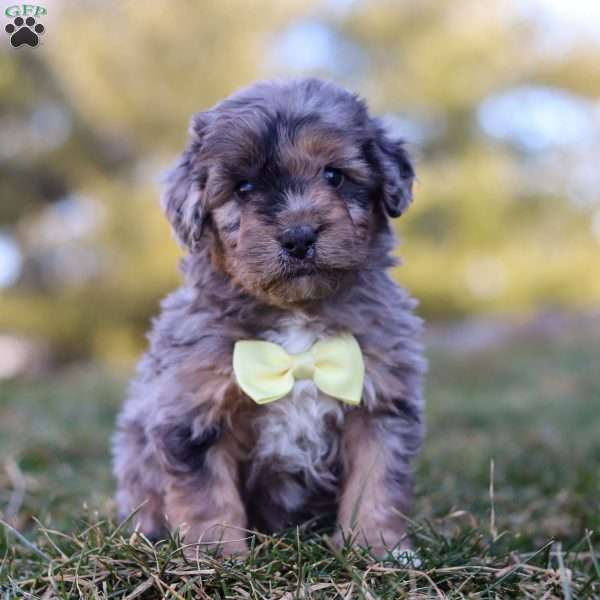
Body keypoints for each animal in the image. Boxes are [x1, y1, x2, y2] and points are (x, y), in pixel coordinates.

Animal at [112, 77, 426, 556]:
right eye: (243, 187)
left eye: (334, 175)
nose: (299, 236)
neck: (296, 318)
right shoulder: (195, 412)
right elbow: (208, 497)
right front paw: (218, 557)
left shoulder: (380, 401)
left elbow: (376, 481)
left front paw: (377, 548)